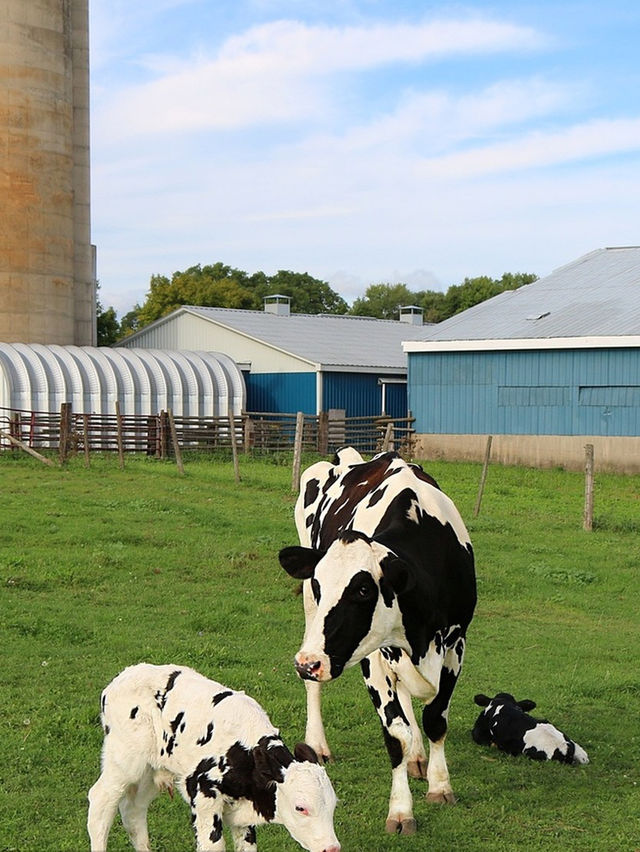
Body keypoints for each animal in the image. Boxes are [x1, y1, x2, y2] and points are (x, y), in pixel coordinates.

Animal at [89, 664, 344, 852]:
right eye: (301, 808)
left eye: (333, 805)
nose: (332, 848)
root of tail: (123, 676)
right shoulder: (204, 797)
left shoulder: (243, 818)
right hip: (124, 760)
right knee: (101, 802)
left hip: (151, 771)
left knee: (133, 810)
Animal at [278, 450, 476, 836]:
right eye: (321, 584)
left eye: (363, 590)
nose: (307, 663)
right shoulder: (372, 658)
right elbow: (395, 734)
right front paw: (400, 811)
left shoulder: (456, 643)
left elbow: (436, 719)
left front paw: (439, 785)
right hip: (311, 615)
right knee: (317, 688)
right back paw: (318, 744)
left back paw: (418, 756)